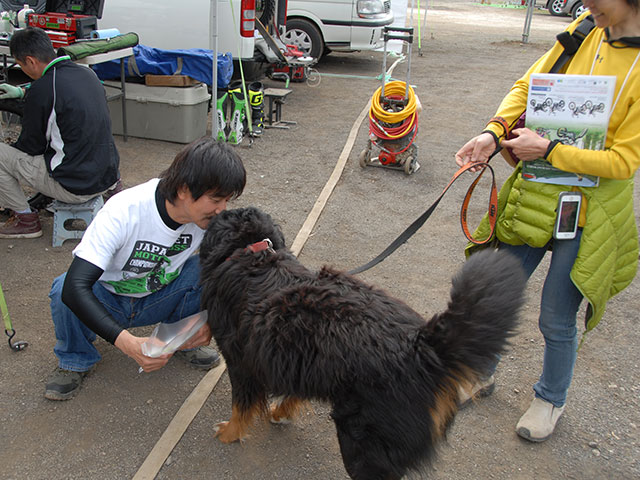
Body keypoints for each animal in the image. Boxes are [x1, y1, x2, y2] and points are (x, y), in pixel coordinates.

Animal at [201, 207, 524, 480]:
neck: (252, 253)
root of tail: (423, 345)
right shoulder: (295, 362)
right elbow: (292, 393)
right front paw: (281, 413)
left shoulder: (240, 363)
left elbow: (240, 407)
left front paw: (230, 432)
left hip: (362, 442)